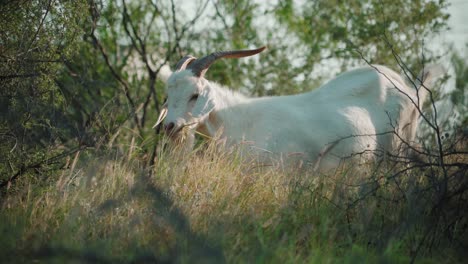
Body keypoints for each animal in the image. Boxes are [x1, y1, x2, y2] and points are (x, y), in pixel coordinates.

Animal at [155, 46, 440, 171]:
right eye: (168, 94)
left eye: (194, 95)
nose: (169, 127)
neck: (242, 121)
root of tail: (409, 88)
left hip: (398, 149)